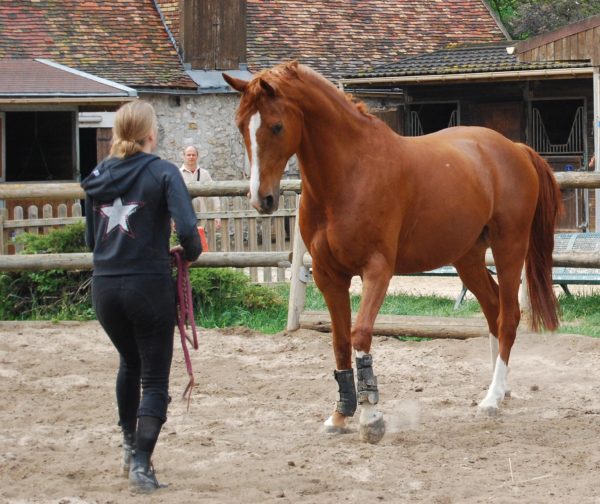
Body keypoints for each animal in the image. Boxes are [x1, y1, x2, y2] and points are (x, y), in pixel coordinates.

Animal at [223, 62, 560, 440]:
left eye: (277, 126)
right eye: (240, 125)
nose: (261, 199)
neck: (349, 173)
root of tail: (514, 148)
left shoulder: (377, 270)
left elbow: (360, 334)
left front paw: (371, 418)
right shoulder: (328, 275)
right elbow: (340, 341)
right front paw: (340, 415)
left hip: (509, 247)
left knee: (508, 316)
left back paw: (492, 399)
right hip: (467, 257)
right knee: (492, 310)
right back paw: (500, 389)